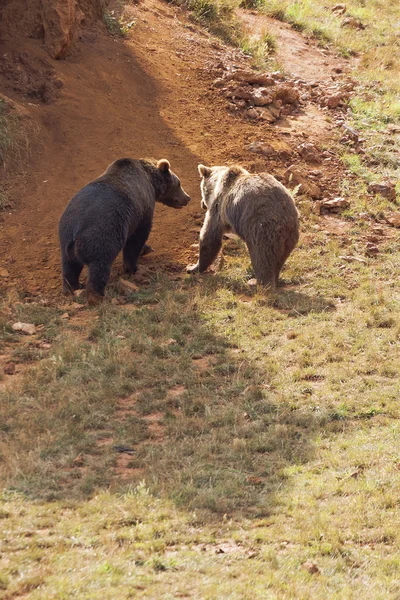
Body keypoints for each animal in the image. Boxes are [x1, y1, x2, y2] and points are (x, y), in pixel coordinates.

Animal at [59, 158, 191, 304]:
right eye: (178, 183)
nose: (187, 197)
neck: (151, 182)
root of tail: (77, 230)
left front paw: (146, 250)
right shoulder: (139, 210)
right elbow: (137, 238)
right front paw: (133, 267)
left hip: (65, 238)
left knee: (70, 266)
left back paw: (72, 287)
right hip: (101, 232)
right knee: (100, 264)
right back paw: (97, 296)